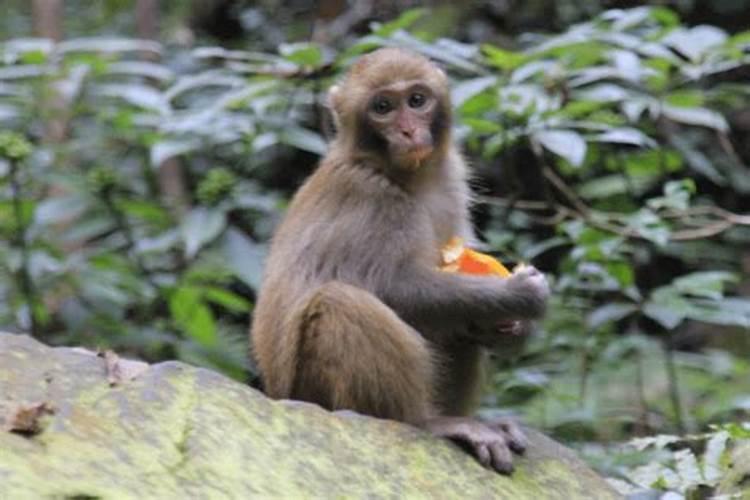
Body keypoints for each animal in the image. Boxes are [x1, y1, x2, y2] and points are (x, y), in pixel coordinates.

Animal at [250, 46, 548, 472]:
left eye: (417, 101)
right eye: (383, 107)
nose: (408, 131)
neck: (404, 176)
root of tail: (278, 396)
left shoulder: (451, 179)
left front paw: (511, 327)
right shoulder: (371, 198)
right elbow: (394, 288)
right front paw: (518, 295)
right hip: (316, 394)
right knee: (341, 303)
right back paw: (428, 422)